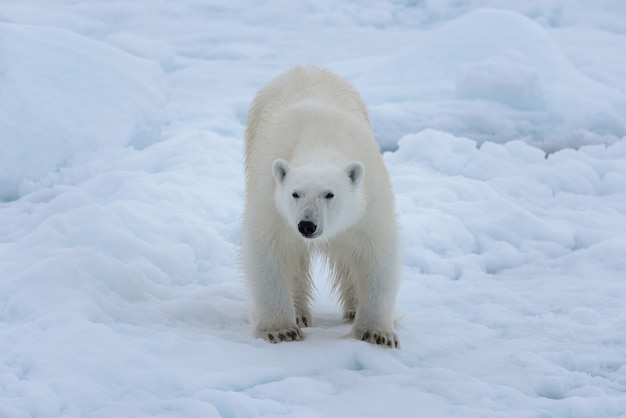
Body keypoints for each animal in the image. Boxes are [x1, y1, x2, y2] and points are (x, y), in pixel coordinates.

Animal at [241, 64, 398, 346]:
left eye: (329, 194)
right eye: (295, 194)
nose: (307, 225)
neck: (319, 142)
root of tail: (304, 67)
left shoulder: (369, 202)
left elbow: (376, 253)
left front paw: (377, 333)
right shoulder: (271, 201)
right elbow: (269, 250)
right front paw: (280, 330)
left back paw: (353, 309)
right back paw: (300, 313)